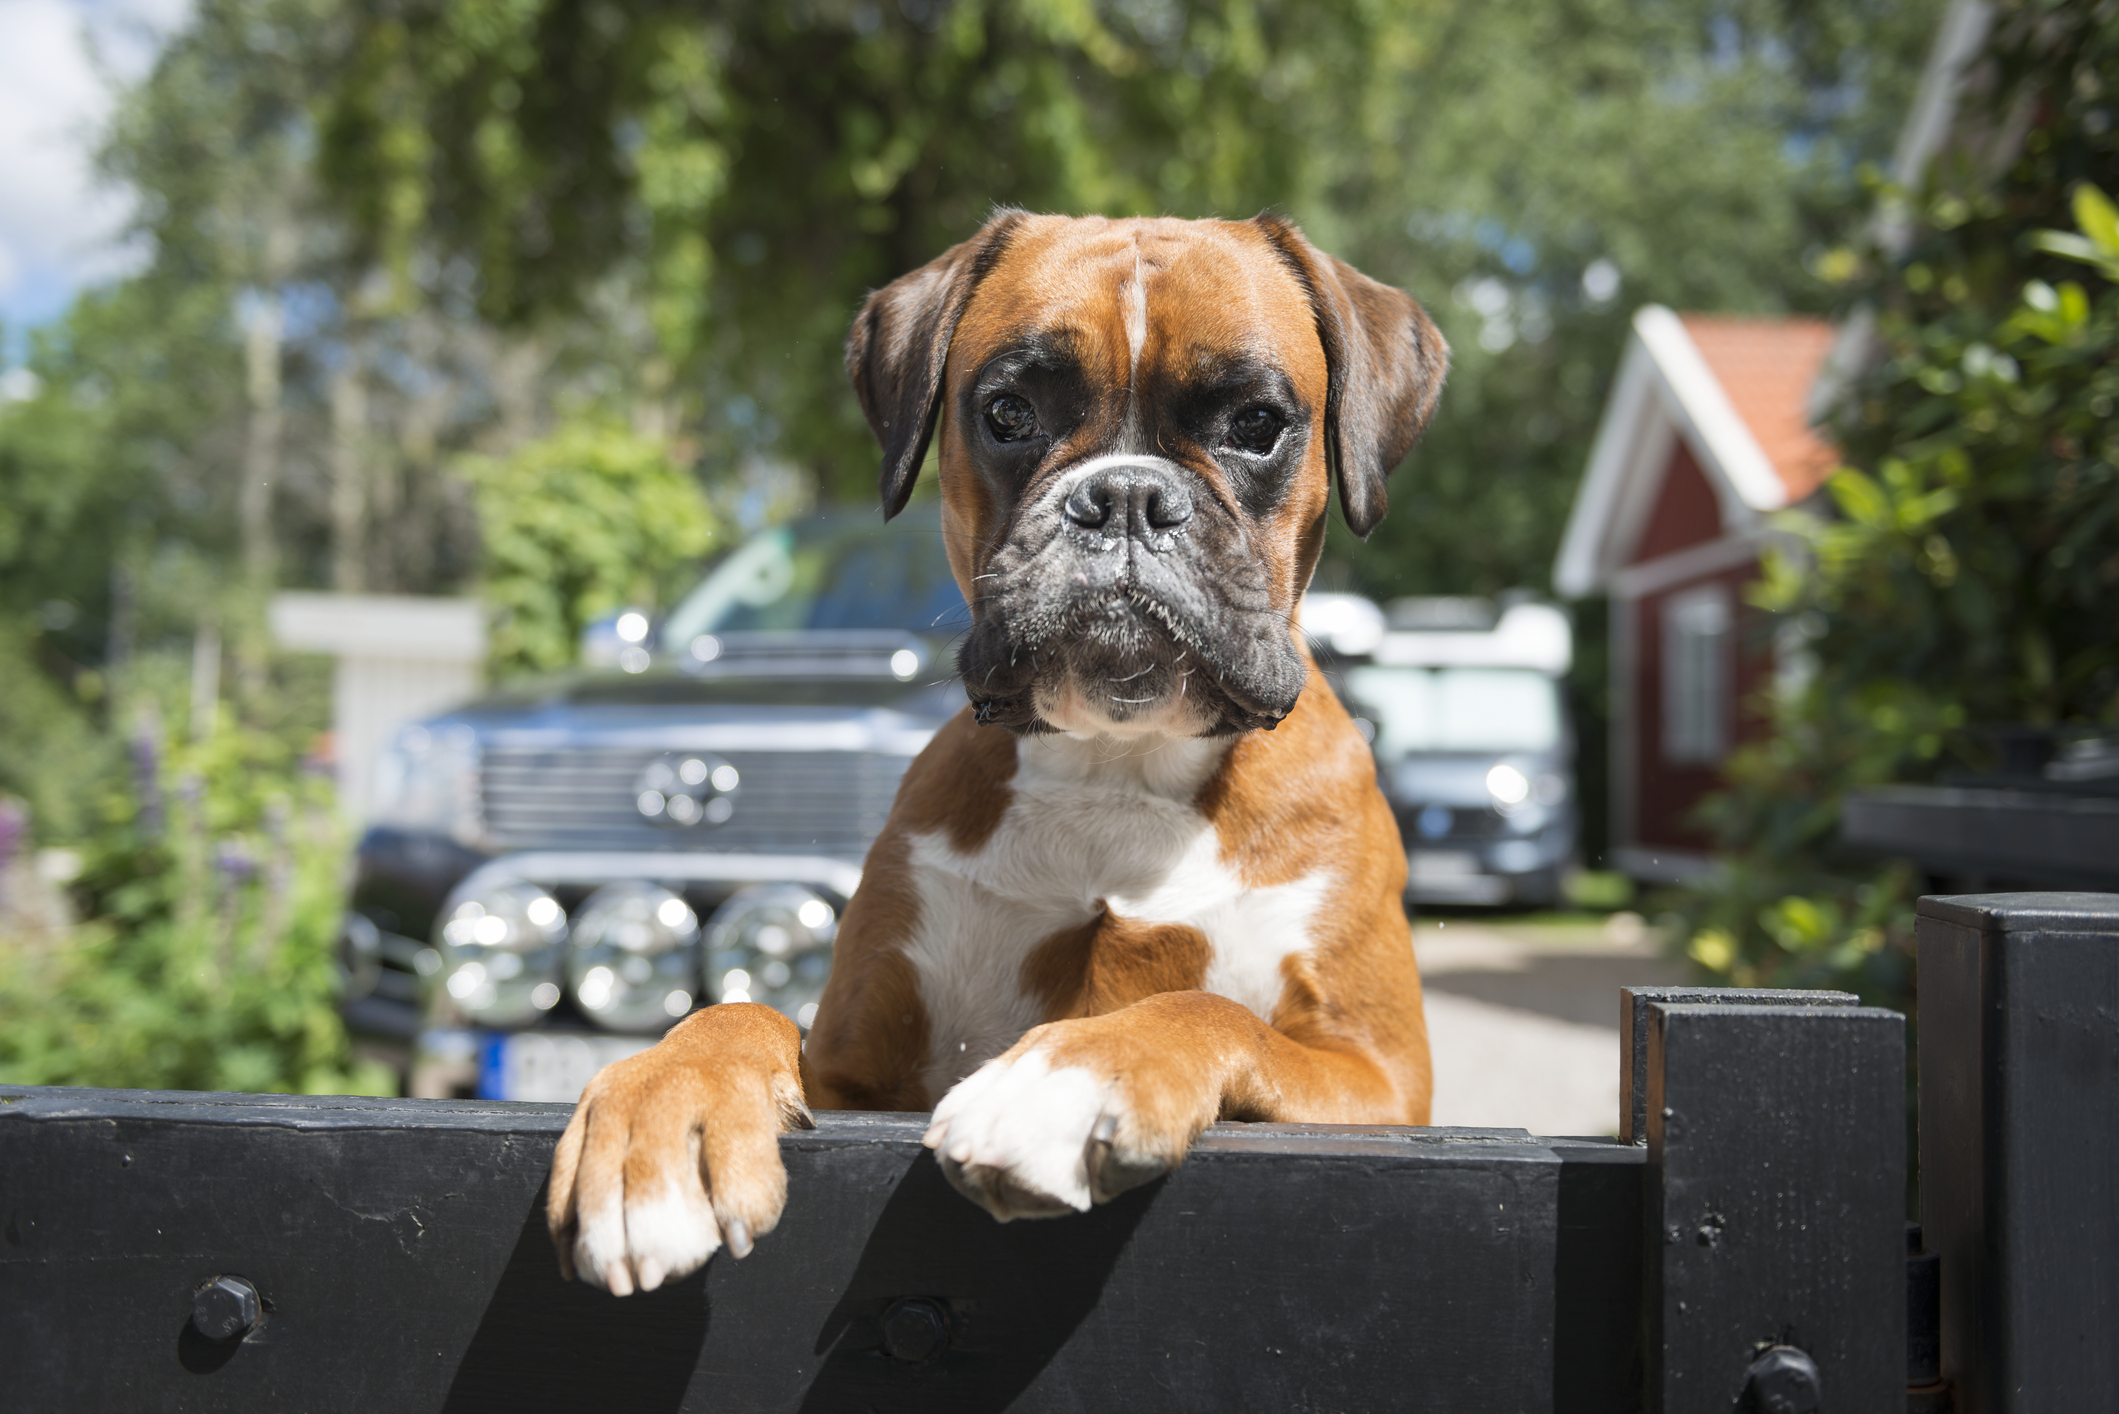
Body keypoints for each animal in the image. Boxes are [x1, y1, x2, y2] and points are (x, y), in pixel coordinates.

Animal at [542, 207, 1440, 1297]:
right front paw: (661, 1114)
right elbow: (740, 1016)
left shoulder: (1377, 1077)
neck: (1115, 764)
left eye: (1257, 424)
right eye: (1008, 412)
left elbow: (1208, 1009)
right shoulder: (857, 1075)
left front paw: (1069, 1074)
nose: (1126, 496)